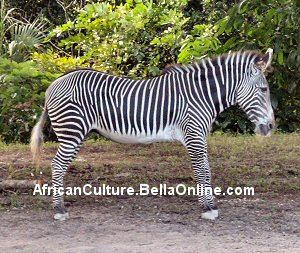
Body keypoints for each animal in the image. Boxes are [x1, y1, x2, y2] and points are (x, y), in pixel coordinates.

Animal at [30, 48, 274, 220]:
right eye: (263, 90)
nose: (271, 127)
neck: (200, 95)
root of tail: (54, 84)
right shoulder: (193, 134)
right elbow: (202, 171)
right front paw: (208, 209)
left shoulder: (199, 136)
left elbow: (206, 169)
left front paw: (211, 205)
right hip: (72, 132)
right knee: (57, 165)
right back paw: (59, 210)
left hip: (74, 133)